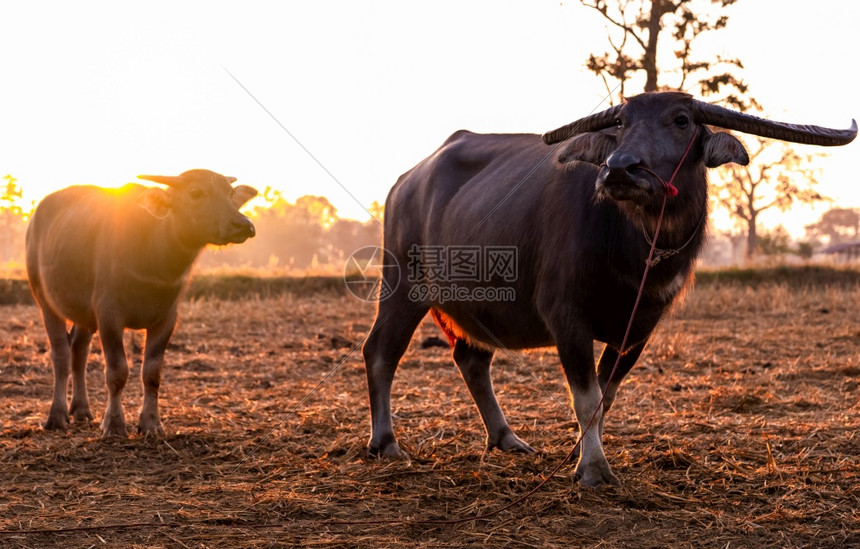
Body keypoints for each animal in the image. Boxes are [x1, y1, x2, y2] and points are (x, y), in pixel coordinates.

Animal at [25, 168, 256, 436]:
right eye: (196, 192)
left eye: (230, 193)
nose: (243, 224)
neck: (153, 258)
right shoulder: (109, 315)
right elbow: (117, 371)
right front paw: (114, 424)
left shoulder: (167, 319)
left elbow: (152, 372)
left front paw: (151, 423)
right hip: (44, 300)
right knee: (61, 355)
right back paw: (57, 416)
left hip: (83, 313)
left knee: (79, 351)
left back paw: (81, 409)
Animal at [362, 92, 852, 486]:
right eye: (621, 122)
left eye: (681, 120)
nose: (619, 170)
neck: (634, 250)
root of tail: (406, 181)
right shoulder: (566, 318)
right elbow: (586, 396)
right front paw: (594, 469)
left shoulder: (640, 329)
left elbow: (606, 397)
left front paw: (581, 452)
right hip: (401, 284)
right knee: (381, 351)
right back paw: (385, 442)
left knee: (471, 358)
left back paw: (506, 438)